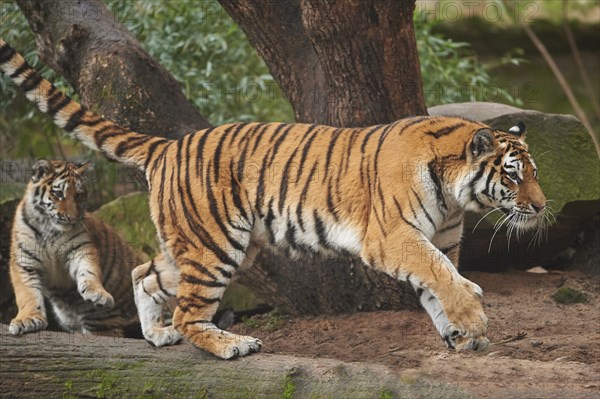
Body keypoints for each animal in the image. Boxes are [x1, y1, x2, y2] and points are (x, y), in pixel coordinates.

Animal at [8, 159, 142, 338]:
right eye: (59, 194)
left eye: (78, 195)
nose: (71, 218)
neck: (50, 229)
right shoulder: (24, 261)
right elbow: (27, 292)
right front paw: (27, 319)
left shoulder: (81, 249)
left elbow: (89, 272)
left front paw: (98, 293)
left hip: (103, 322)